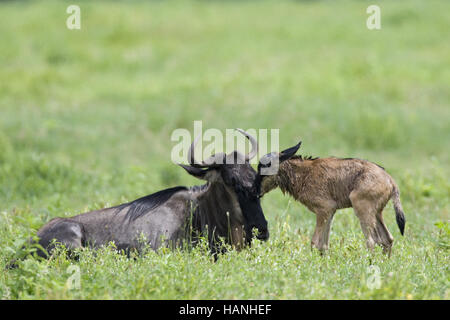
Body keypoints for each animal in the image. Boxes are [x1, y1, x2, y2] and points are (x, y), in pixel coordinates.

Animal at [258, 143, 406, 255]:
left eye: (266, 167)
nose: (256, 191)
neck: (303, 174)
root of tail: (391, 181)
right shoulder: (330, 212)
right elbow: (324, 245)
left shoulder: (323, 210)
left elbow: (314, 243)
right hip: (377, 213)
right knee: (387, 239)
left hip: (362, 208)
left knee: (371, 241)